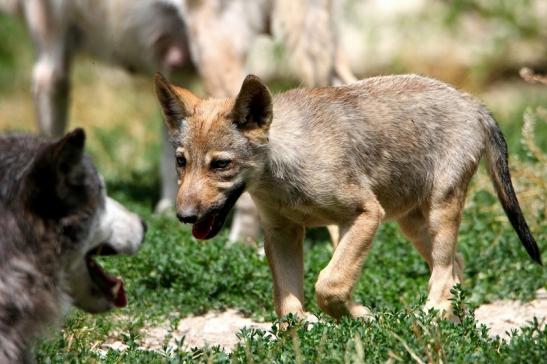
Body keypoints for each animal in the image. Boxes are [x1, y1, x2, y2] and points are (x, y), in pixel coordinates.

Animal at [152, 72, 540, 320]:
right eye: (181, 161)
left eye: (221, 165)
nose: (184, 217)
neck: (283, 169)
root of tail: (474, 103)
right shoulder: (281, 233)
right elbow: (289, 306)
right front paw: (310, 327)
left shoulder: (366, 215)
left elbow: (330, 284)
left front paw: (360, 315)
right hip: (412, 225)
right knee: (455, 268)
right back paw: (452, 321)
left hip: (439, 212)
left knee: (444, 271)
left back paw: (432, 316)